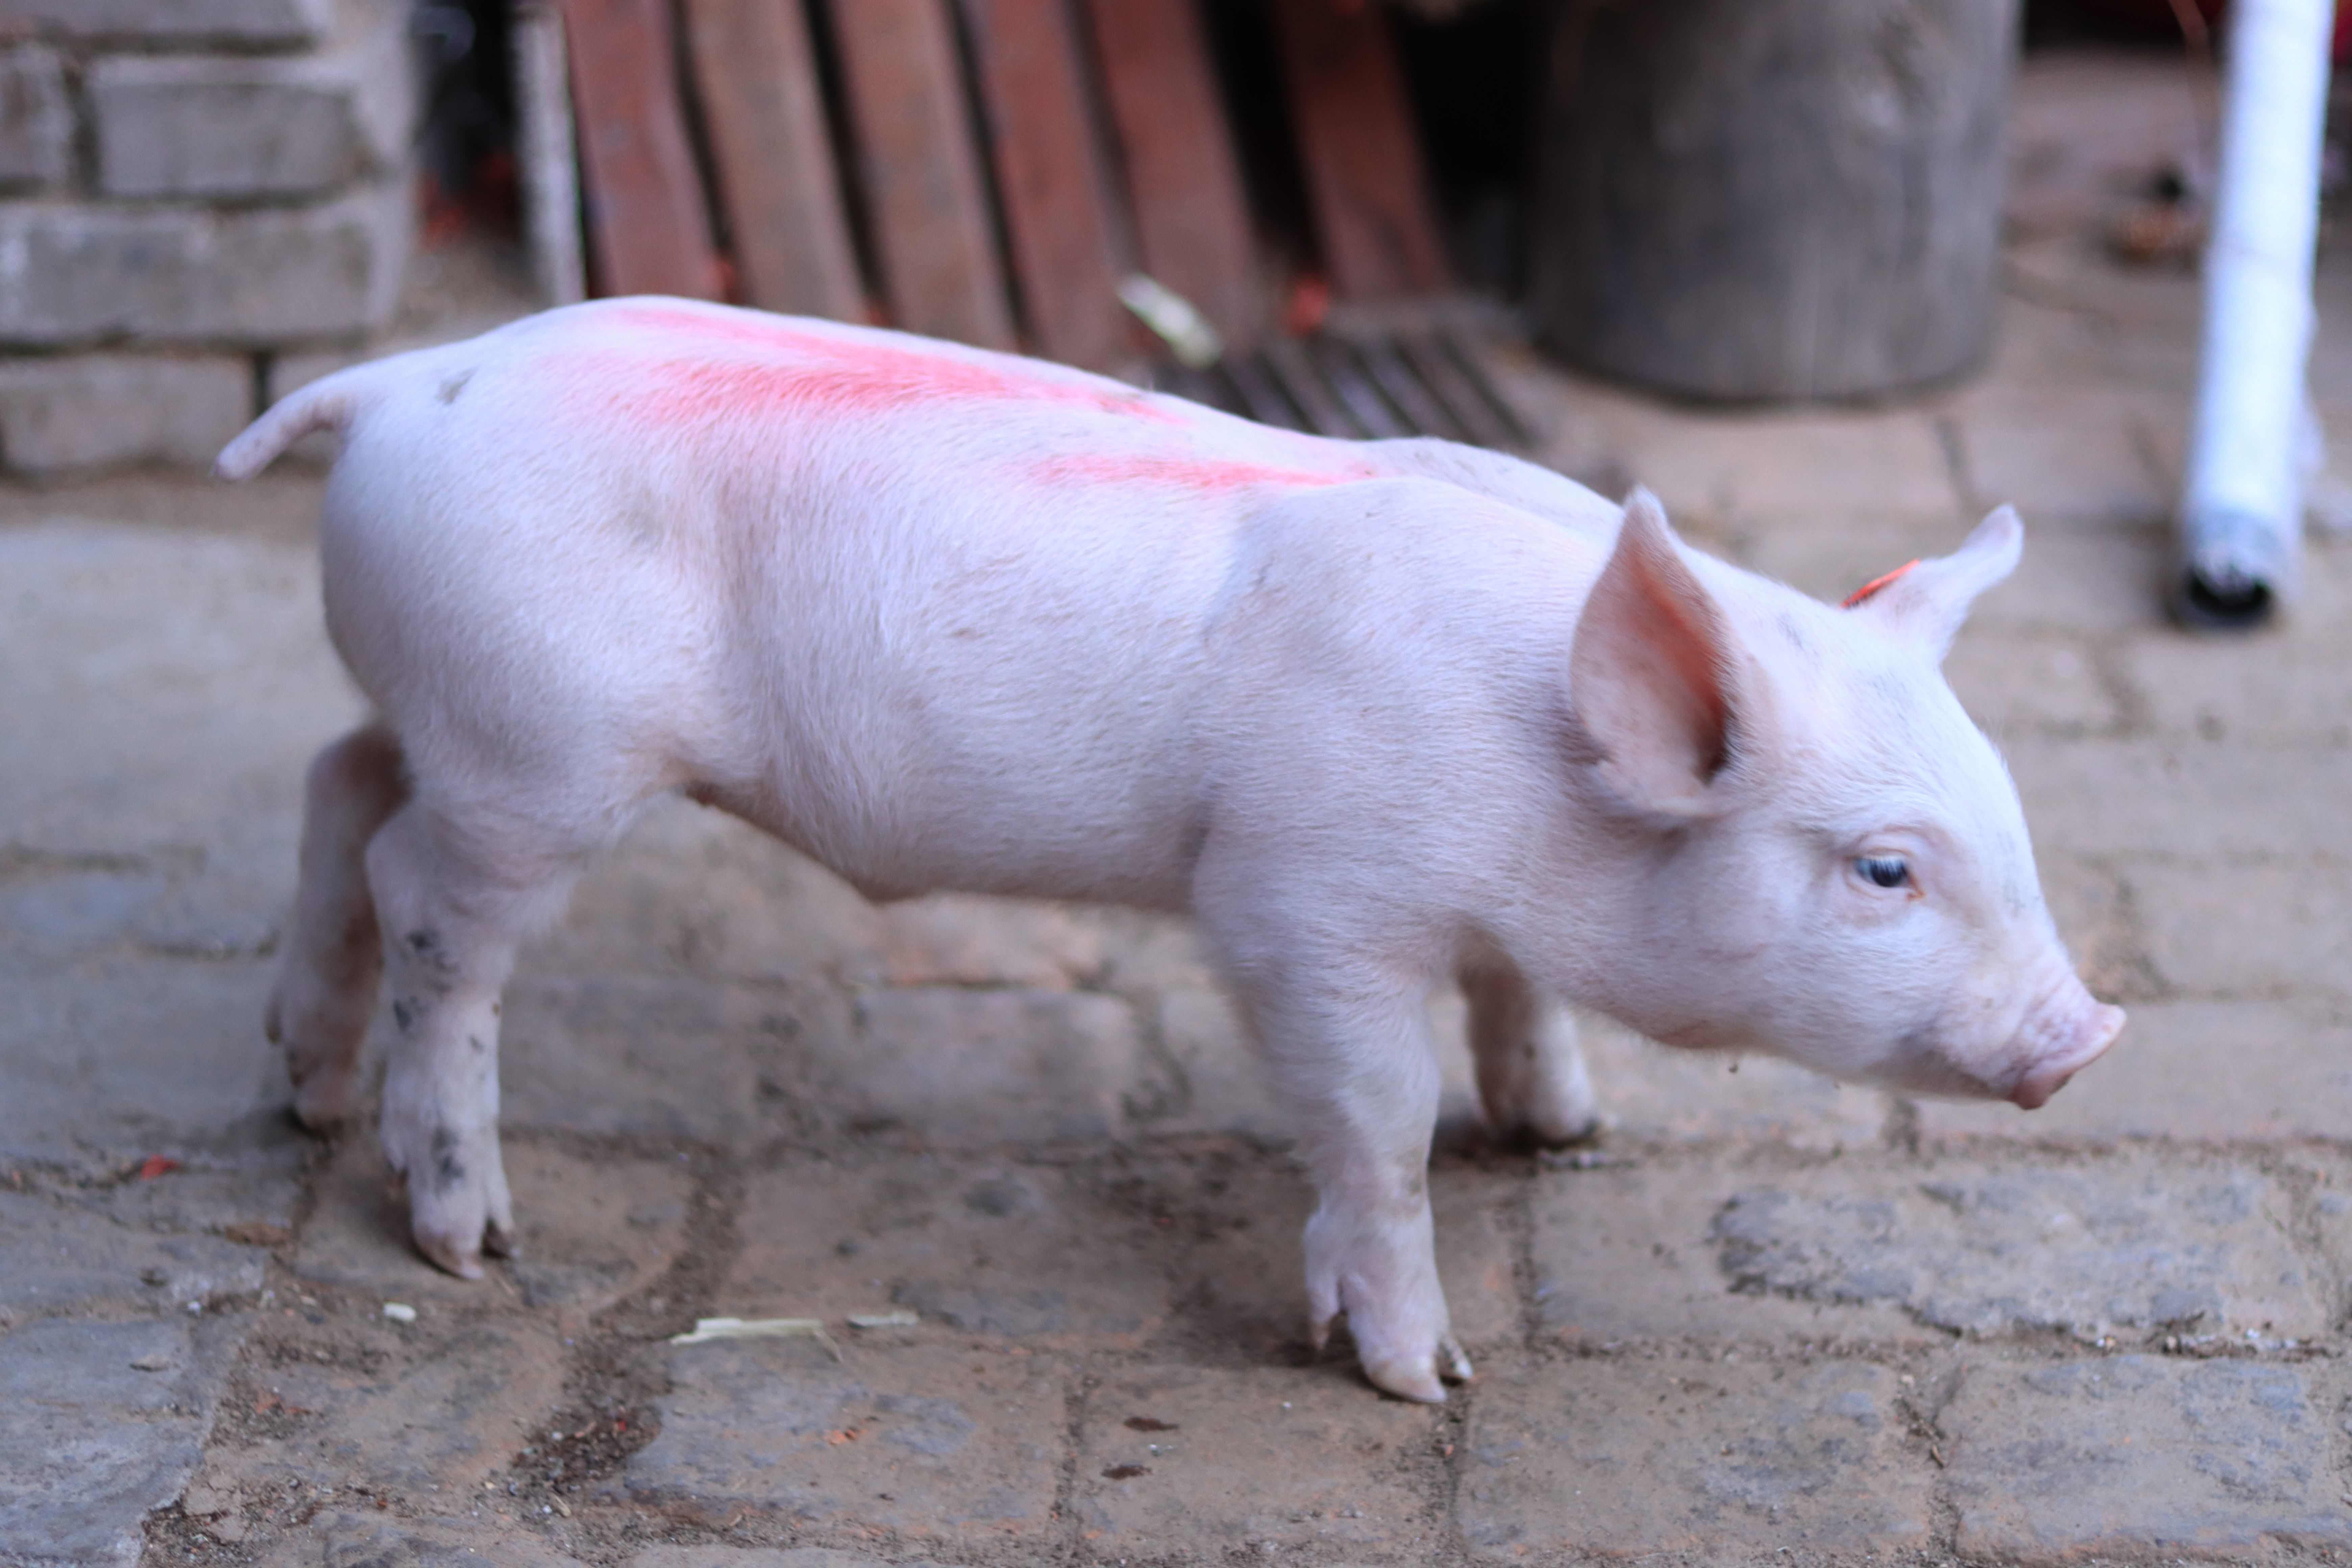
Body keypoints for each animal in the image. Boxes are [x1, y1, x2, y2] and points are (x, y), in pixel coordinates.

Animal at [216, 297, 2123, 1402]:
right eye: (1884, 869)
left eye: (2014, 816)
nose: (2087, 1033)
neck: (1538, 778)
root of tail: (400, 378)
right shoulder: (1297, 903)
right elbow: (1378, 1128)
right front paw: (1424, 1377)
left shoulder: (1473, 917)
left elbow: (1519, 1006)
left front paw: (1566, 1134)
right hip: (539, 755)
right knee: (430, 911)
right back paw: (468, 1235)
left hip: (457, 714)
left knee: (335, 777)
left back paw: (301, 1085)